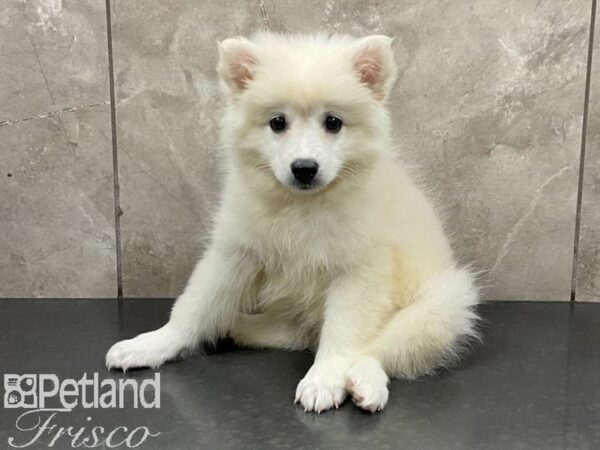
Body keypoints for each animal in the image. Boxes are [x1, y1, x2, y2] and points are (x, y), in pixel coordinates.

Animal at [104, 33, 478, 414]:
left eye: (333, 123)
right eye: (277, 123)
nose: (304, 168)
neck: (303, 206)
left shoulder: (359, 270)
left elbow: (342, 333)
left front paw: (323, 380)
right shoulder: (235, 252)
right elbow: (193, 307)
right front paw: (152, 344)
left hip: (441, 304)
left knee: (379, 350)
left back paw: (365, 384)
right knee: (297, 332)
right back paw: (238, 325)